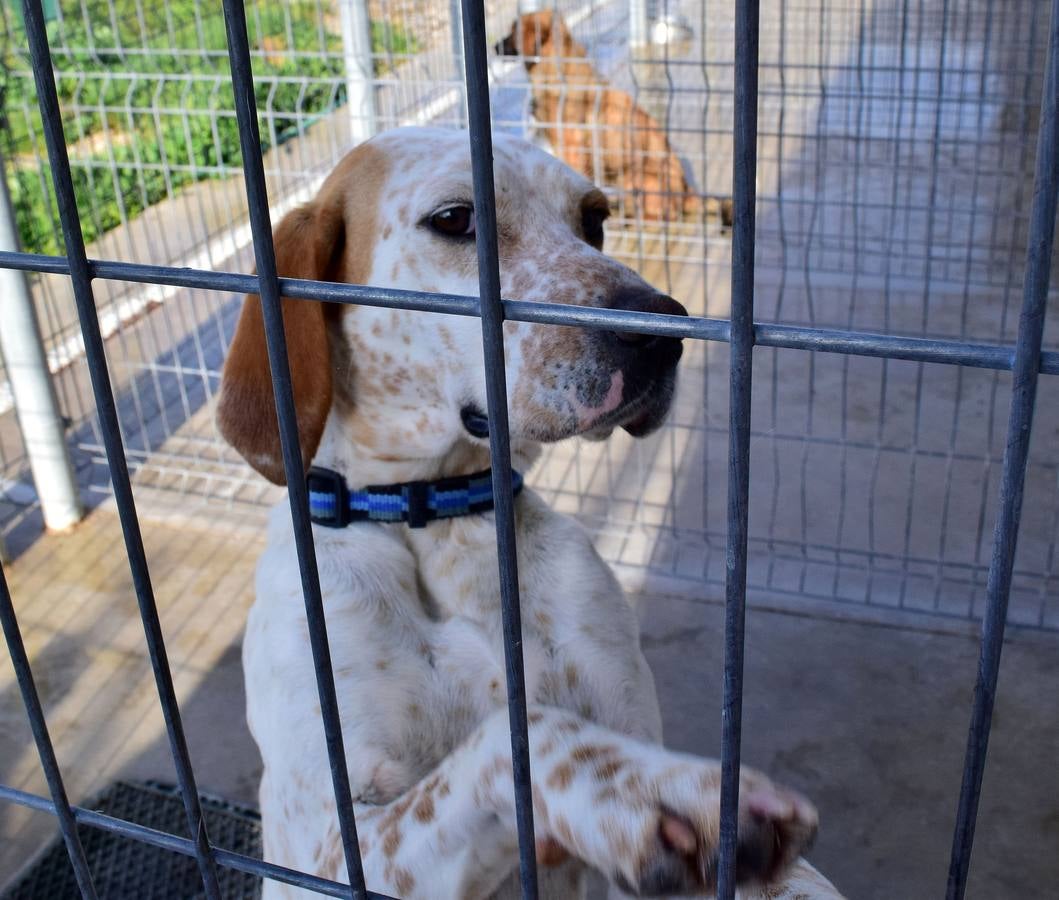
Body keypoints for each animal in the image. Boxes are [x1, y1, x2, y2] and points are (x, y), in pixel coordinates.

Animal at [217, 128, 842, 897]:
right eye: (456, 219)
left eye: (595, 218)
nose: (662, 327)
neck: (440, 520)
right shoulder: (330, 850)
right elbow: (523, 735)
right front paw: (652, 791)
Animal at [493, 10, 728, 224]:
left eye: (513, 30)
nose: (494, 47)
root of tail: (688, 191)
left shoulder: (572, 147)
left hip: (636, 178)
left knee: (662, 215)